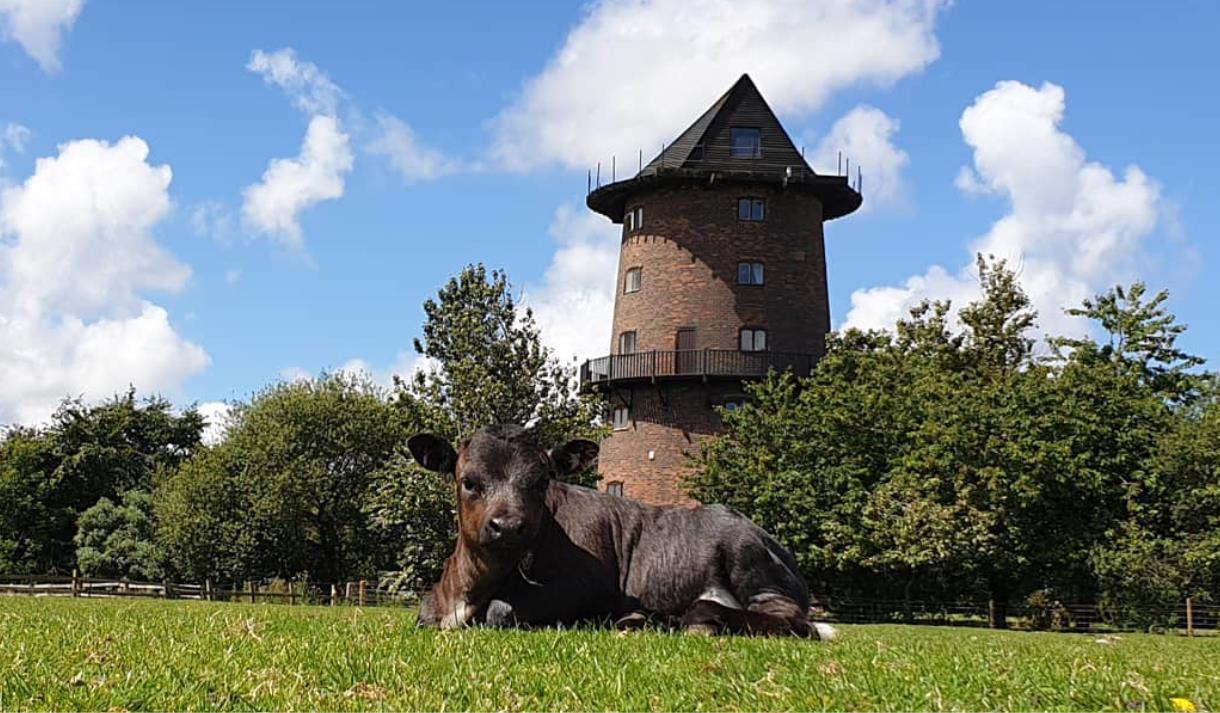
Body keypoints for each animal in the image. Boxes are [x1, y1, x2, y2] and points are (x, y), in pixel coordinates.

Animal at [407, 427, 829, 639]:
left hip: (753, 565)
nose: (508, 526)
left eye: (542, 481)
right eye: (469, 481)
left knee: (796, 621)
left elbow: (500, 610)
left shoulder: (593, 586)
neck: (469, 590)